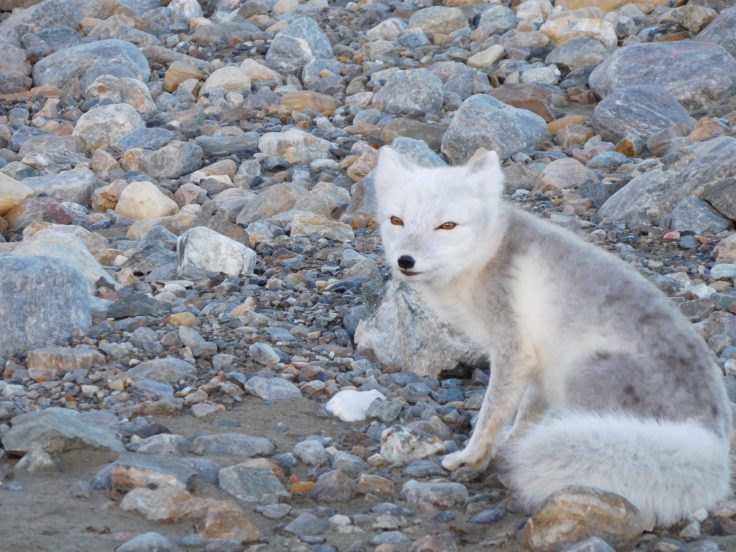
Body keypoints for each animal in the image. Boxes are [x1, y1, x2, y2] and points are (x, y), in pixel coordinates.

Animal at [376, 147, 732, 528]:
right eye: (396, 221)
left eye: (447, 226)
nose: (405, 261)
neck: (487, 256)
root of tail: (714, 440)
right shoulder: (538, 363)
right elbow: (525, 414)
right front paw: (513, 445)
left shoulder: (512, 350)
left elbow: (491, 416)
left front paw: (471, 457)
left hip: (582, 372)